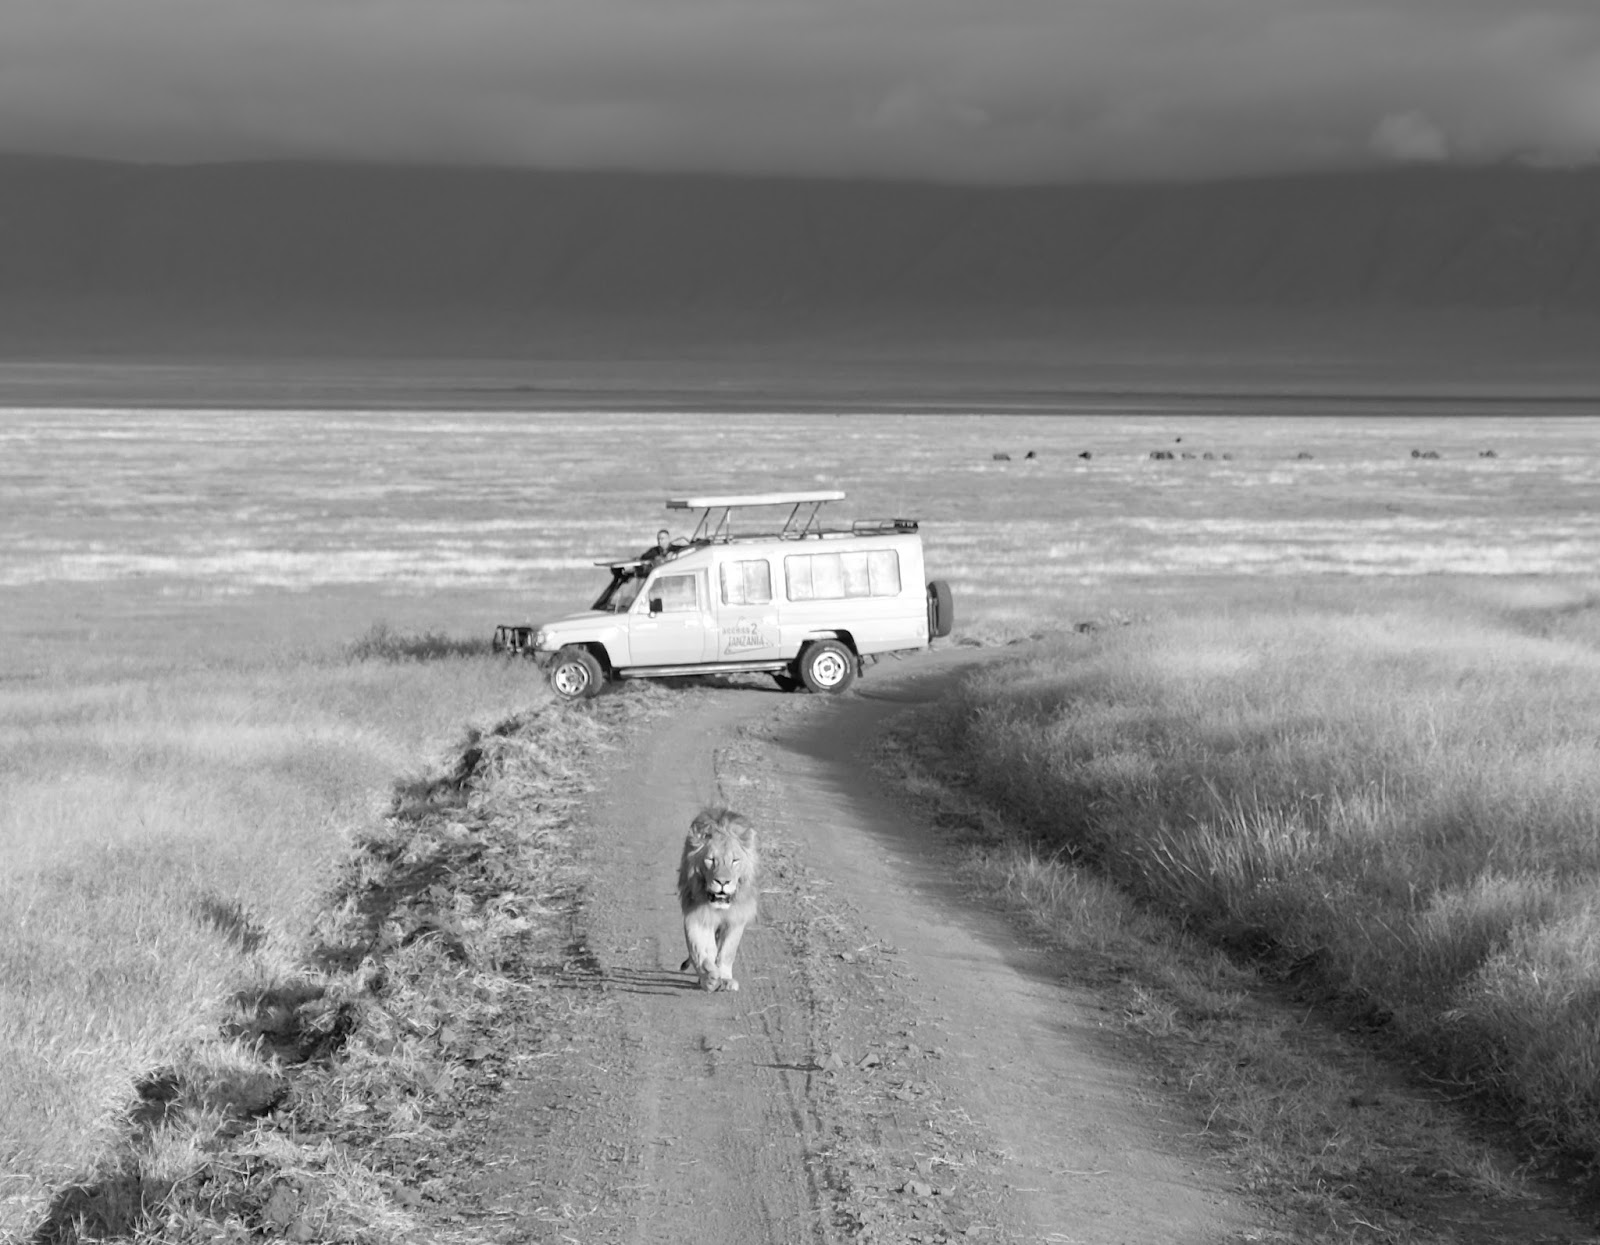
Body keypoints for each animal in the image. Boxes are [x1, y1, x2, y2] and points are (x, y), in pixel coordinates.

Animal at [672, 806, 752, 992]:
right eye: (710, 860)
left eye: (735, 861)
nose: (722, 882)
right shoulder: (697, 914)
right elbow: (700, 948)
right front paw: (709, 978)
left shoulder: (736, 918)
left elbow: (727, 951)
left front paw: (726, 979)